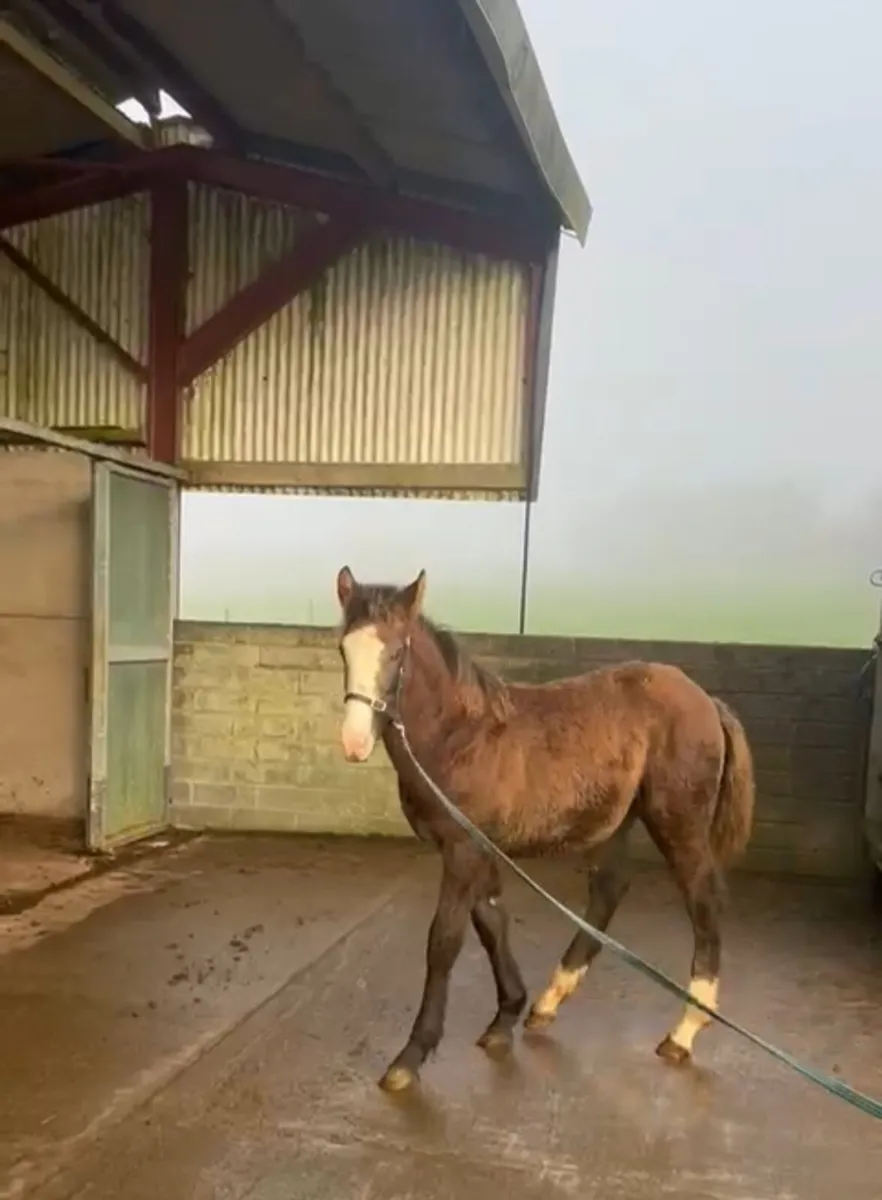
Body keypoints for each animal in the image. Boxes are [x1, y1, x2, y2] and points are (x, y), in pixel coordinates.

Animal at [335, 565, 755, 1093]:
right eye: (343, 649)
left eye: (396, 651)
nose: (353, 743)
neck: (461, 738)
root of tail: (707, 701)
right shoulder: (479, 848)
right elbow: (492, 923)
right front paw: (505, 1017)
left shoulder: (462, 849)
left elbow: (444, 942)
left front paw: (410, 1057)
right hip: (618, 821)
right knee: (609, 890)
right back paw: (549, 1002)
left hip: (678, 823)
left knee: (703, 901)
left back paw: (683, 1032)